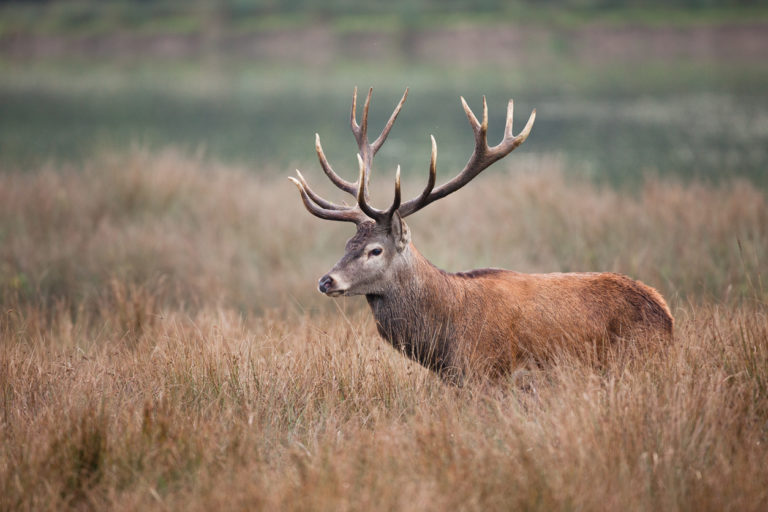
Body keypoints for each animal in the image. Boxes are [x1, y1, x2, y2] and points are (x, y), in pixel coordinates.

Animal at [289, 87, 673, 384]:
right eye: (347, 244)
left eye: (375, 251)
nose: (326, 281)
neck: (445, 336)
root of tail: (666, 316)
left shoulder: (485, 373)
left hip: (637, 359)